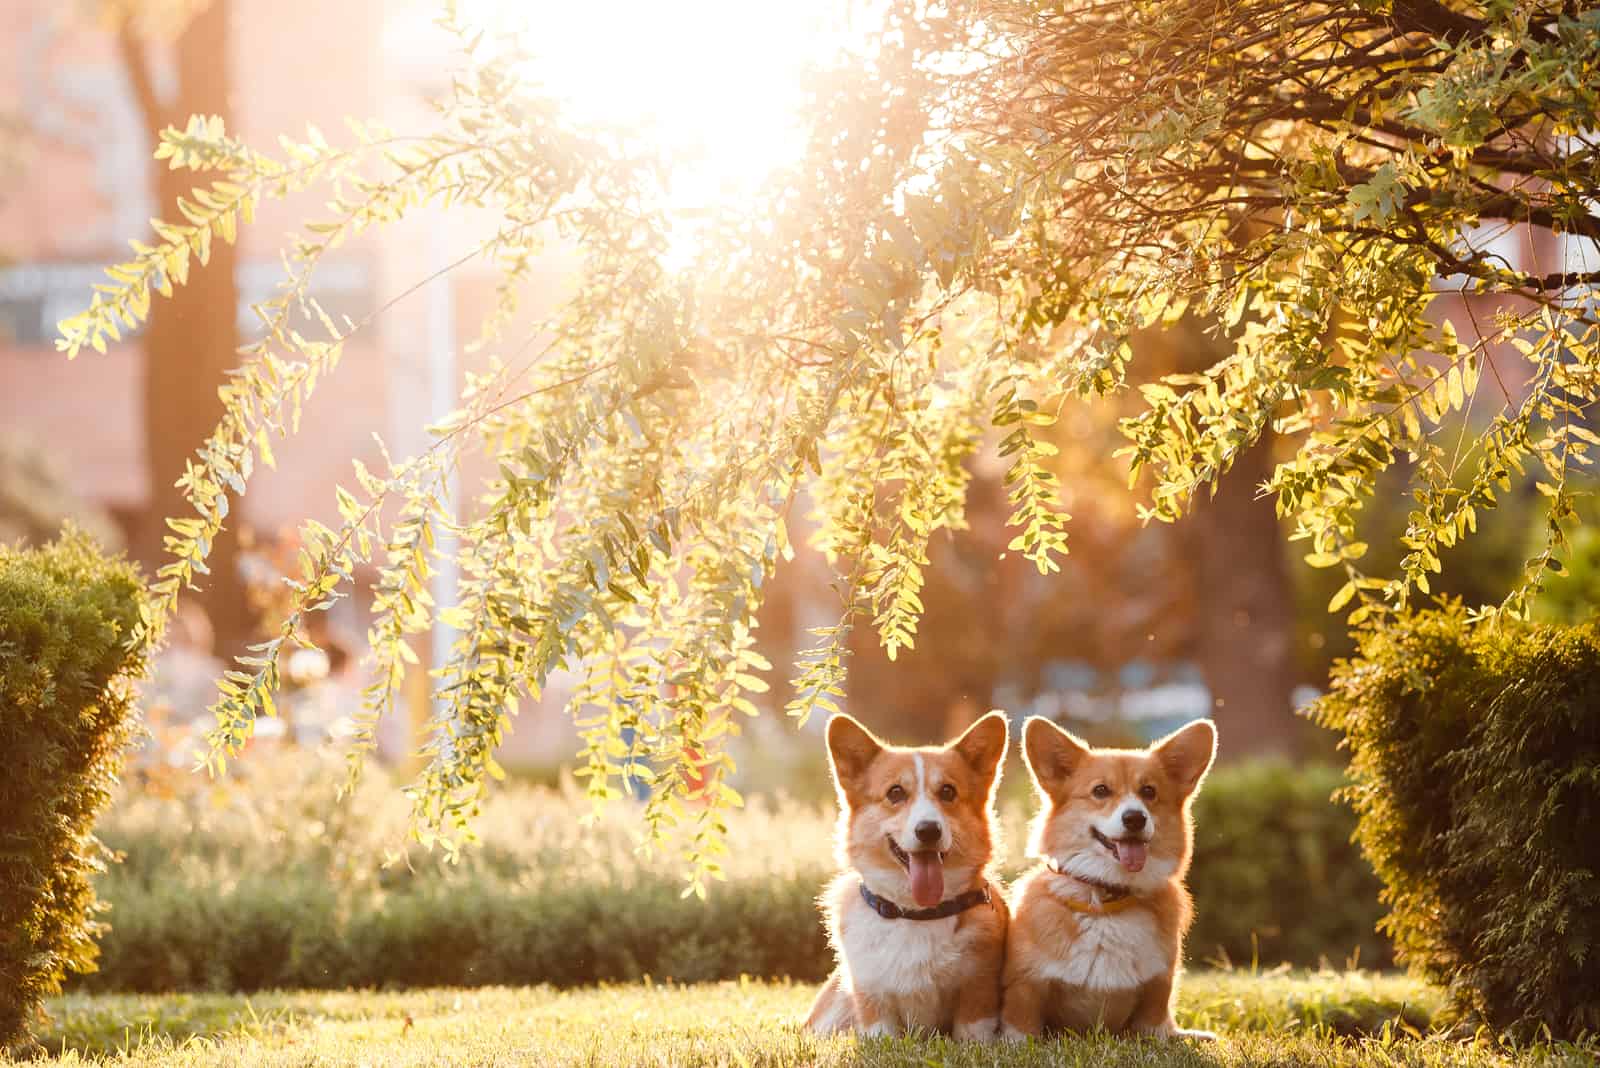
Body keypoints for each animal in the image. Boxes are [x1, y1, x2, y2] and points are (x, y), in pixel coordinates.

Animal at [806, 713, 1004, 1036]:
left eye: (948, 791)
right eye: (895, 793)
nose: (928, 830)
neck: (917, 914)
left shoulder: (978, 994)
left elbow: (972, 1035)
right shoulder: (873, 1001)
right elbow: (882, 1035)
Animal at [1004, 716, 1216, 1042]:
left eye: (1149, 791)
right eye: (1101, 790)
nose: (1135, 818)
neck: (1107, 897)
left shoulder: (1157, 992)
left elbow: (1156, 1028)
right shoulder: (1024, 988)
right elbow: (1021, 1031)